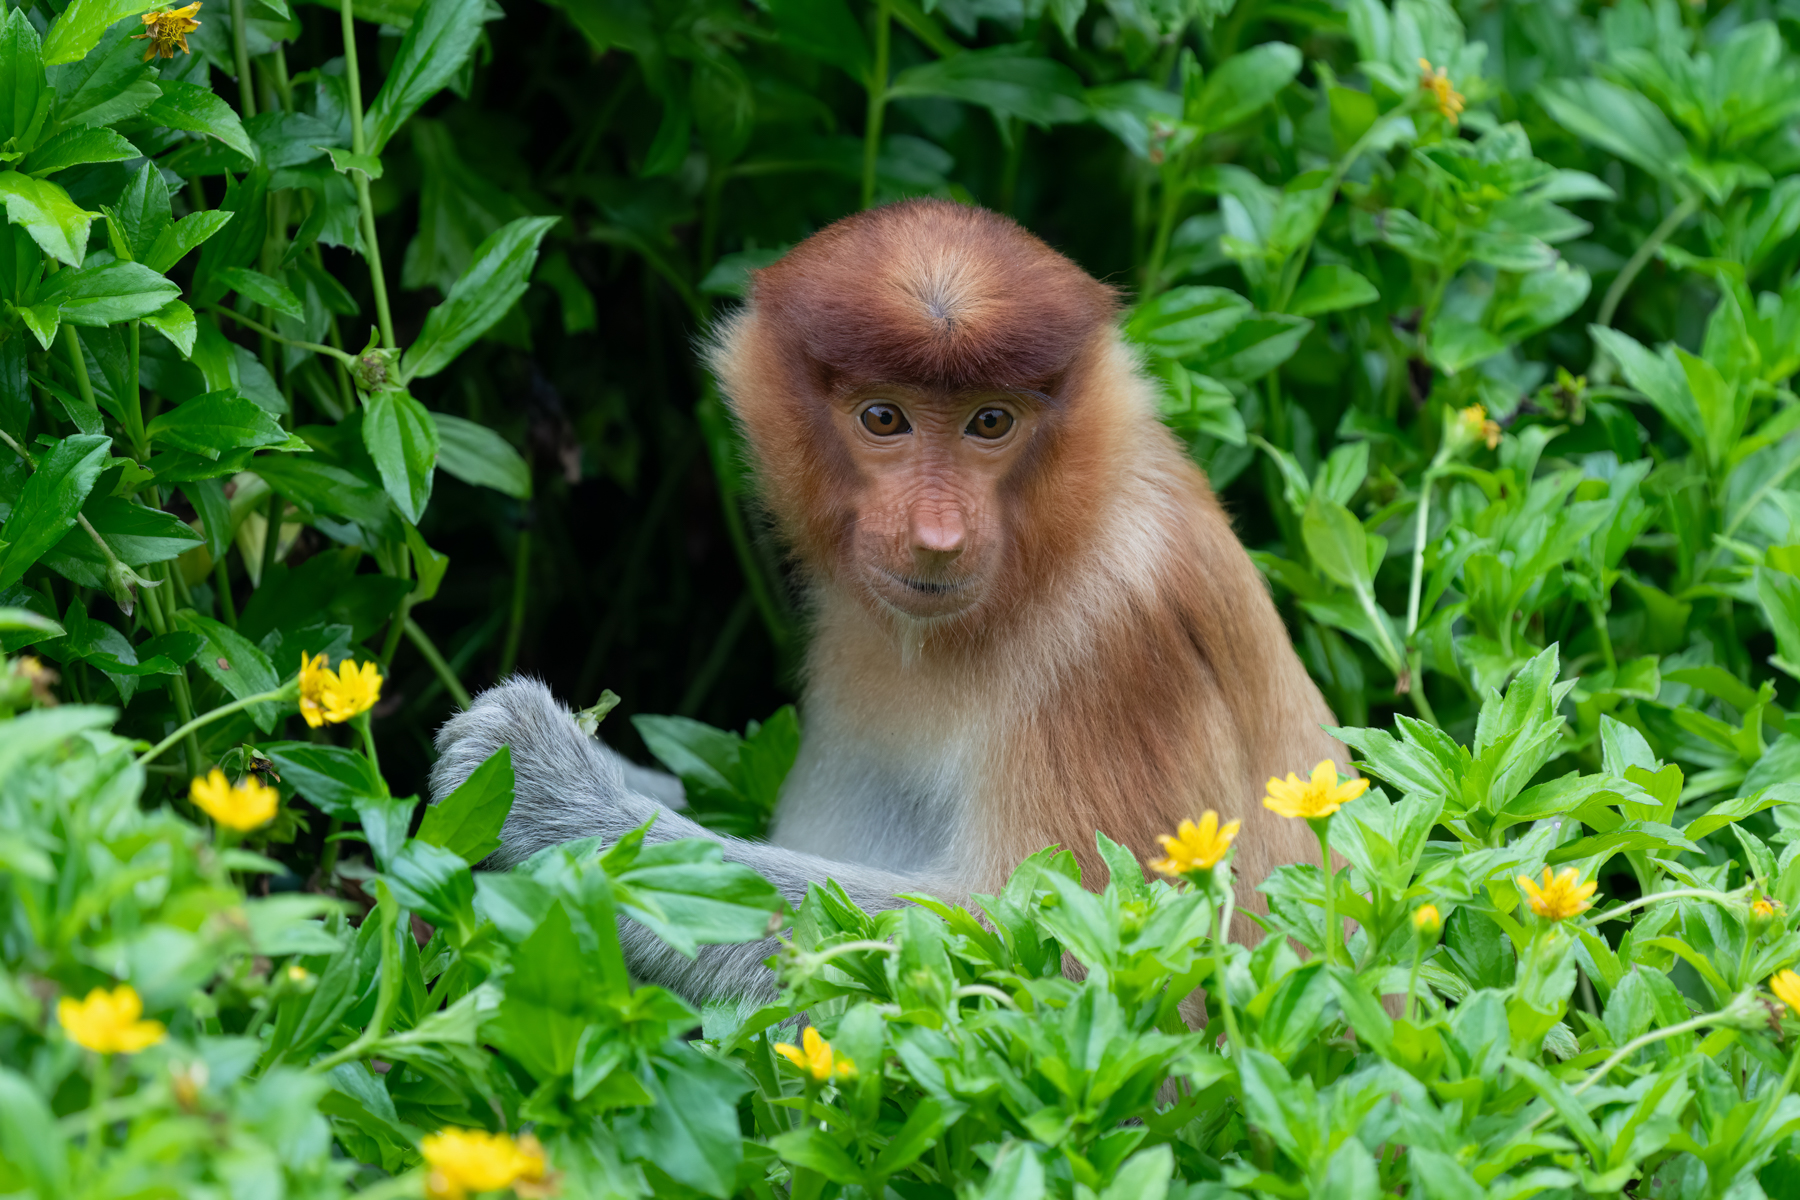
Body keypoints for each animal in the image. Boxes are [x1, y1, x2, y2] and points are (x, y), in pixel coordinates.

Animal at [430, 198, 1347, 1003]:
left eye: (990, 422)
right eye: (883, 417)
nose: (938, 539)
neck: (1053, 544)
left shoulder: (1119, 640)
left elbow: (1075, 973)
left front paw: (542, 785)